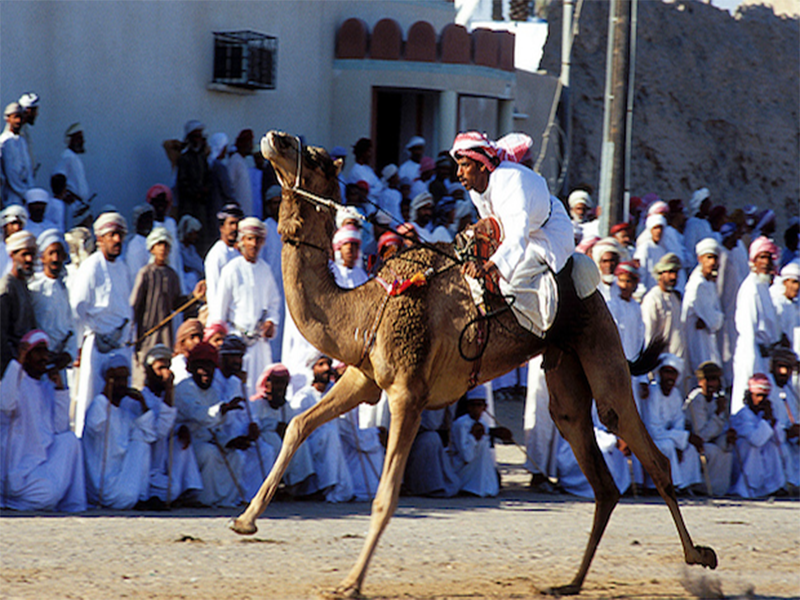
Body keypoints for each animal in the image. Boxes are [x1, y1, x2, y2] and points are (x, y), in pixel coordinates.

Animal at [228, 130, 716, 596]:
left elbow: (386, 496)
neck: (364, 308)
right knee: (597, 472)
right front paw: (244, 520)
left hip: (599, 341)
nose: (274, 137)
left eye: (311, 157)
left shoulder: (408, 393)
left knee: (641, 446)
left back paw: (698, 556)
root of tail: (595, 284)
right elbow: (299, 424)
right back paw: (569, 583)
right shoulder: (365, 378)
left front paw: (350, 583)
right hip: (563, 365)